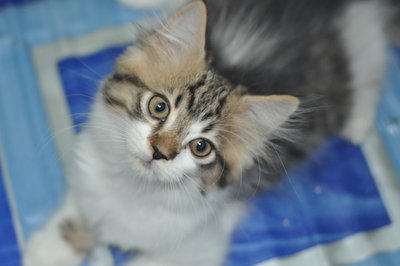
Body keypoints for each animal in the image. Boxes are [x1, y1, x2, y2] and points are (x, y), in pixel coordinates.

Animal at [23, 0, 396, 266]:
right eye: (159, 107)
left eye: (201, 147)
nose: (160, 152)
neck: (133, 189)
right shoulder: (89, 175)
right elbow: (77, 211)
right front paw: (46, 250)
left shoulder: (199, 245)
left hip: (357, 37)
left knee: (372, 57)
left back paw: (357, 122)